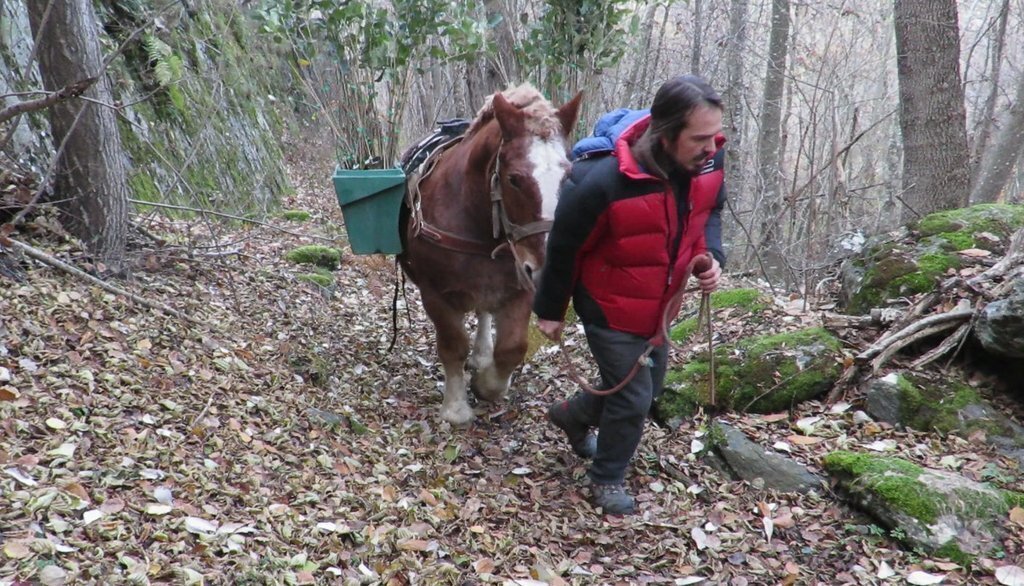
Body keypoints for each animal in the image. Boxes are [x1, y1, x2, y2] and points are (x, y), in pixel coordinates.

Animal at [399, 84, 582, 425]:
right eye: (514, 179)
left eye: (569, 176)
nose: (549, 269)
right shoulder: (435, 294)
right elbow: (453, 345)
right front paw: (456, 408)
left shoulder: (522, 286)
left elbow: (512, 348)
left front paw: (487, 384)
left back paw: (482, 355)